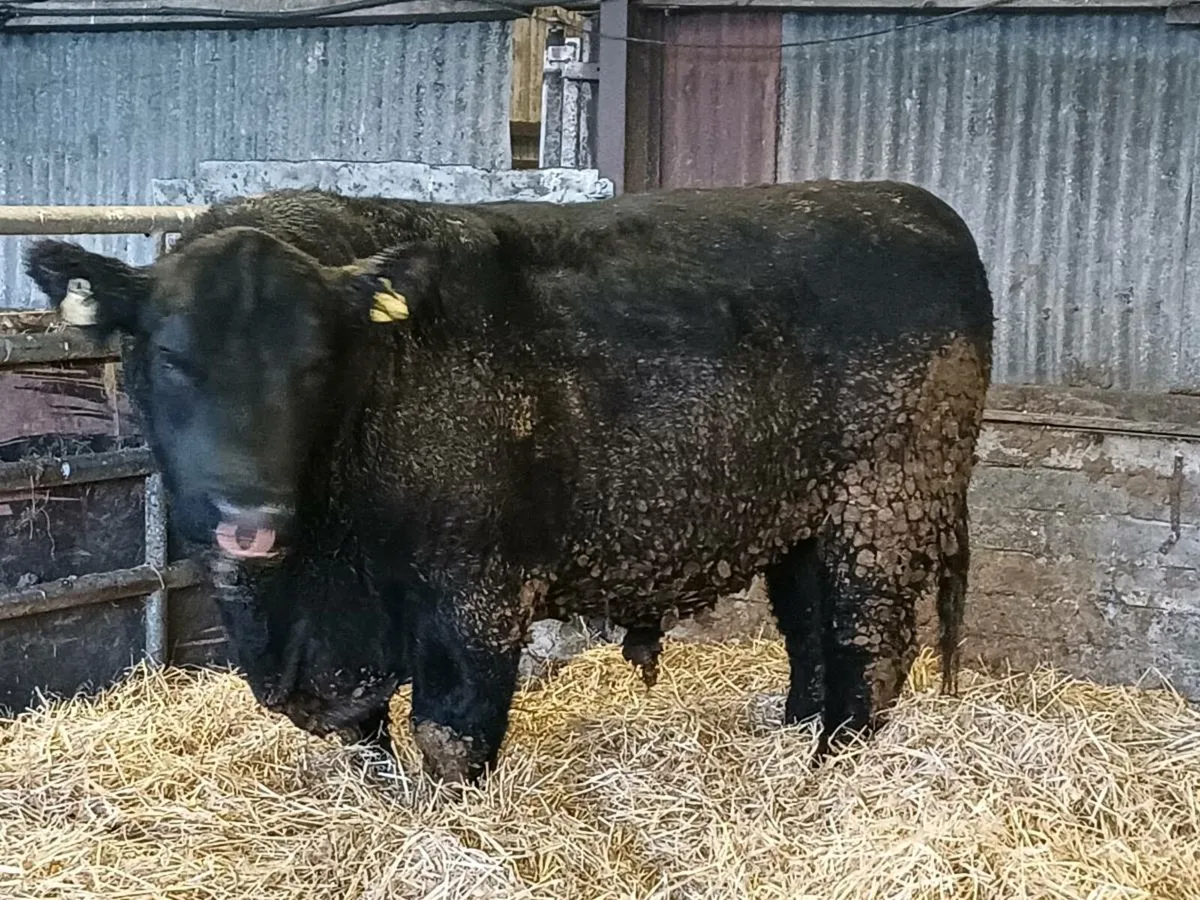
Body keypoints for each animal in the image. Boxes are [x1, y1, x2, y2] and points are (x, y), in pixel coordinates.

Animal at [24, 181, 994, 784]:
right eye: (174, 357)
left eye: (315, 363)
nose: (249, 515)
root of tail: (915, 206)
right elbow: (364, 735)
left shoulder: (475, 586)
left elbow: (452, 730)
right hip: (805, 513)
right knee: (809, 630)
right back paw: (794, 736)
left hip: (884, 501)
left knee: (868, 645)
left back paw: (832, 770)